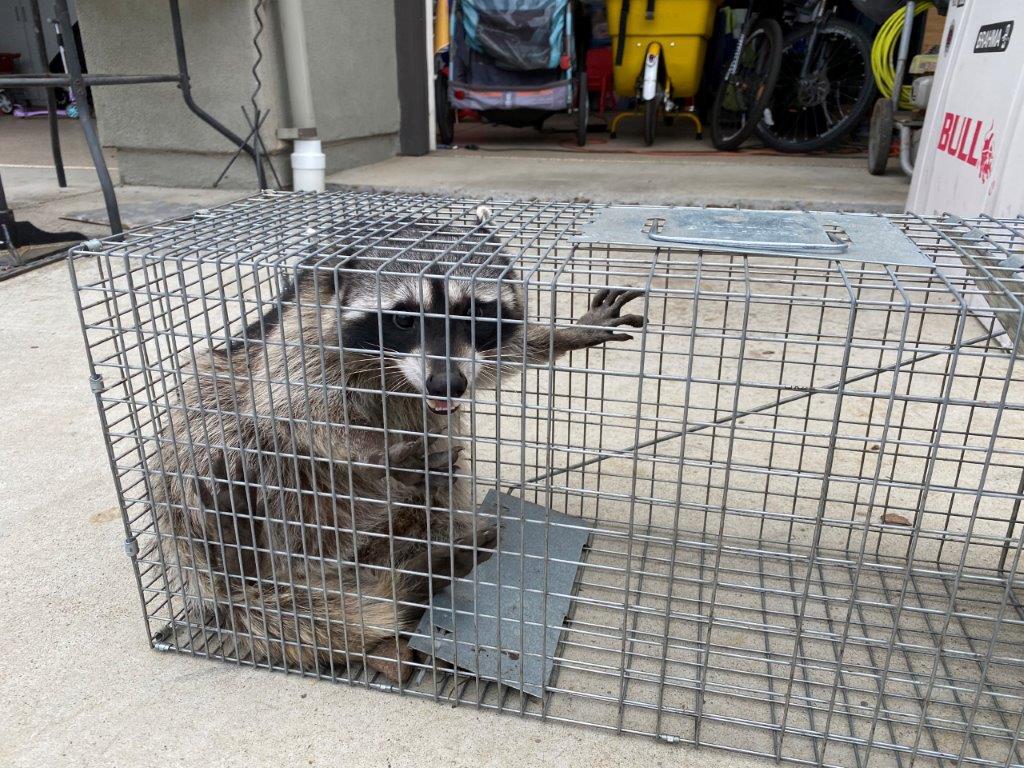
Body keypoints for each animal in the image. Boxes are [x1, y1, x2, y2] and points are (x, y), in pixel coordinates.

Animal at [150, 206, 646, 682]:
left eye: (475, 315)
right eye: (405, 318)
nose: (447, 384)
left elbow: (502, 356)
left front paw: (563, 331)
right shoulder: (301, 336)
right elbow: (286, 404)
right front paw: (375, 456)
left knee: (438, 492)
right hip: (210, 474)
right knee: (227, 428)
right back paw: (245, 547)